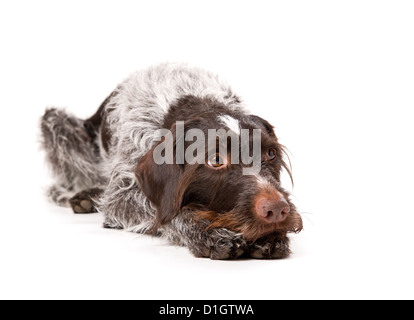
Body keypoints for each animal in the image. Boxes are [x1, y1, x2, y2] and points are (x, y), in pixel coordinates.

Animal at [40, 63, 302, 260]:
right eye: (216, 160)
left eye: (270, 154)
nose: (277, 209)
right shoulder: (122, 198)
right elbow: (168, 211)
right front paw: (209, 233)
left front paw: (270, 236)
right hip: (55, 120)